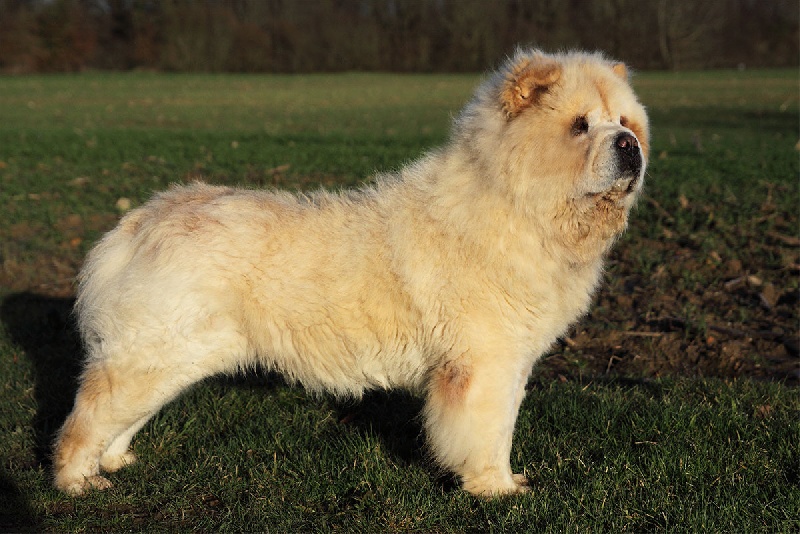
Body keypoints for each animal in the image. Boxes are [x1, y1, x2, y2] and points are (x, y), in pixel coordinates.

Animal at [53, 48, 648, 497]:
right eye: (579, 127)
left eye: (624, 123)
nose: (630, 145)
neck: (517, 206)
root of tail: (139, 223)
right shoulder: (483, 363)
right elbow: (486, 434)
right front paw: (495, 490)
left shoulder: (510, 362)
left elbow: (501, 427)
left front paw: (504, 482)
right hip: (153, 355)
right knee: (85, 419)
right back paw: (77, 482)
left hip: (172, 357)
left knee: (118, 418)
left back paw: (116, 462)